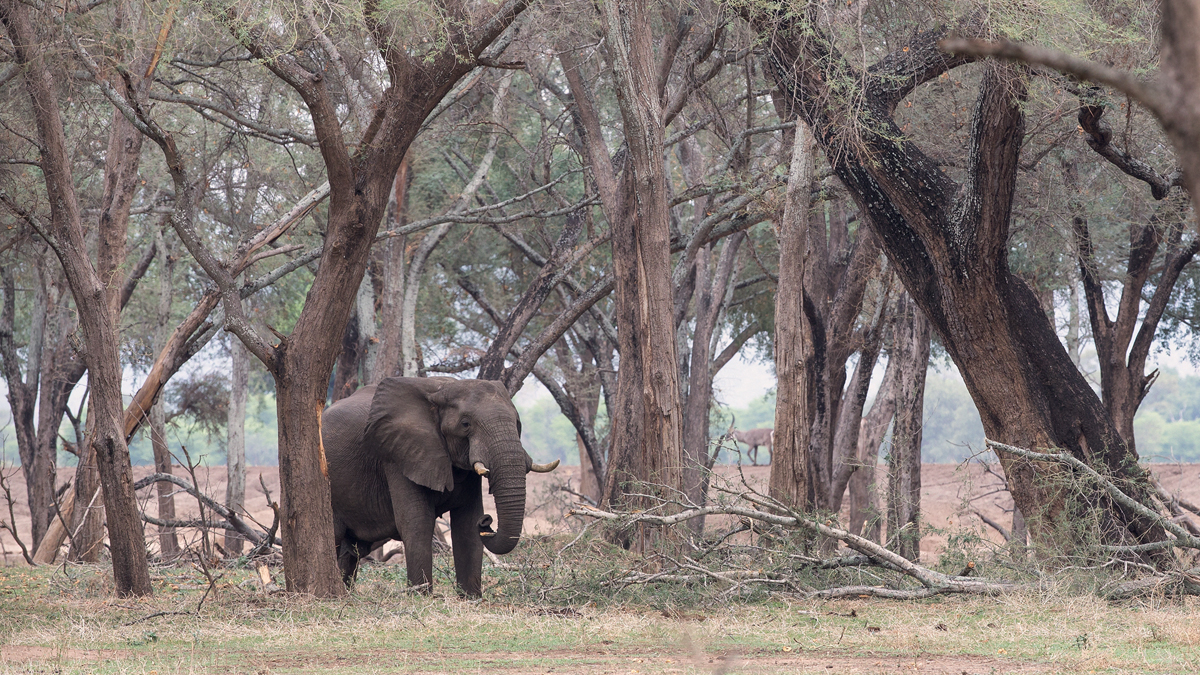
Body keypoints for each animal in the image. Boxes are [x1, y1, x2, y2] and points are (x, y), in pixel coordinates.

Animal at [321, 374, 559, 595]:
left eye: (518, 423)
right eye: (465, 424)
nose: (487, 521)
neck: (441, 388)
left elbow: (467, 523)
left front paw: (471, 598)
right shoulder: (398, 455)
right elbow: (417, 523)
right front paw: (421, 596)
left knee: (351, 551)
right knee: (336, 537)